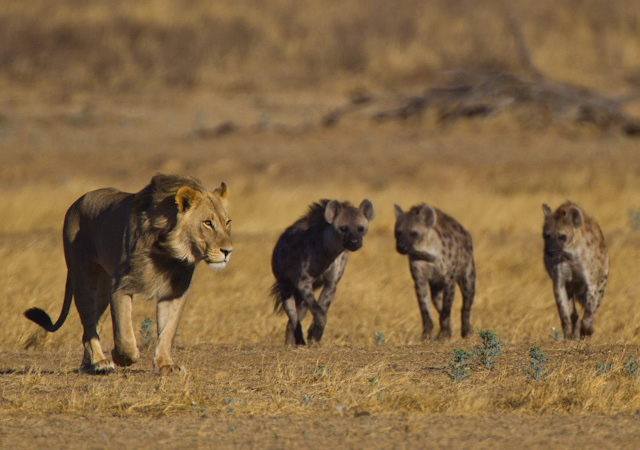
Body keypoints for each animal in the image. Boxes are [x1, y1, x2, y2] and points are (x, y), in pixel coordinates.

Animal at [24, 174, 232, 375]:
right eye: (207, 223)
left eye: (227, 222)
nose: (228, 251)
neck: (169, 254)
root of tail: (77, 202)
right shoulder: (120, 284)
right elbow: (124, 334)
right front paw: (122, 357)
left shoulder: (174, 292)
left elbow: (167, 331)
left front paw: (166, 365)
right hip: (83, 277)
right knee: (89, 325)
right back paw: (100, 363)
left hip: (102, 290)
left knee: (91, 328)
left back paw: (88, 365)